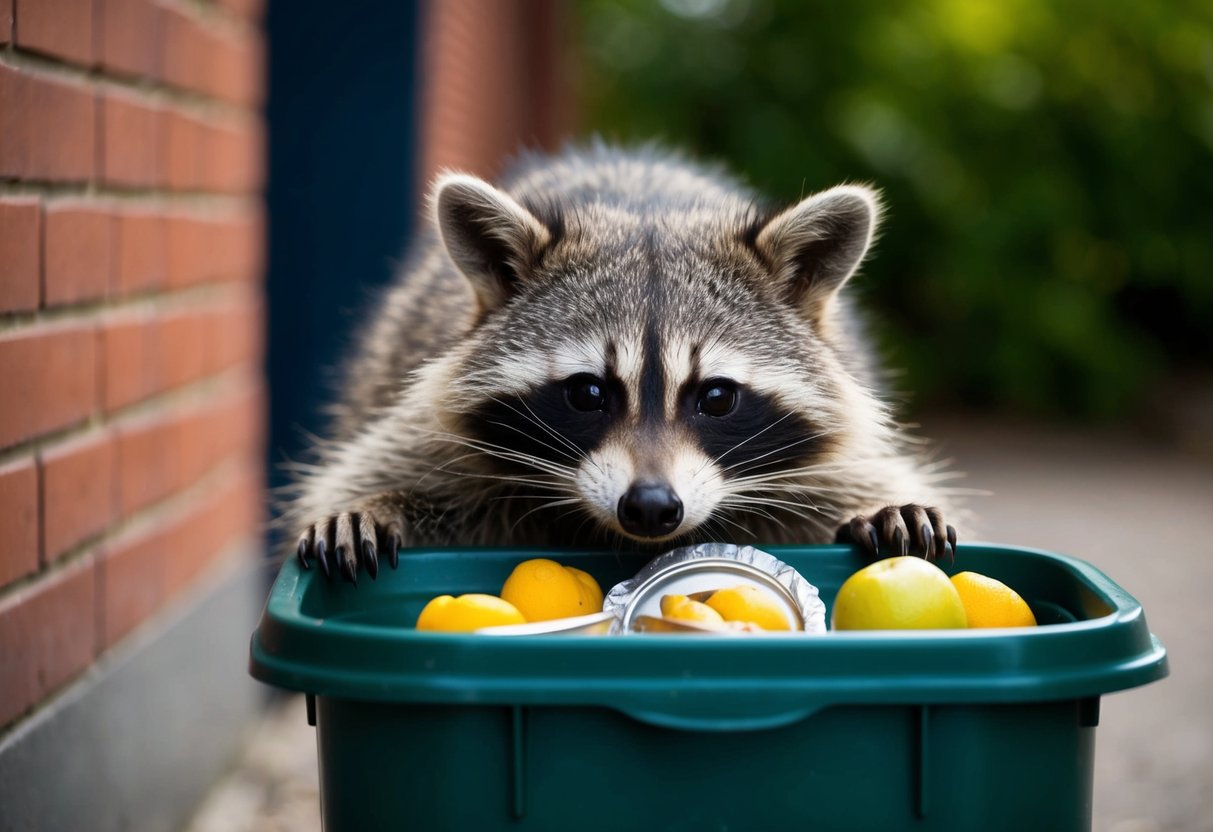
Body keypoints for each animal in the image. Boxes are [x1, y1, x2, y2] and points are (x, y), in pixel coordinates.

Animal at [287, 143, 958, 583]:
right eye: (588, 393)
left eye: (717, 397)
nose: (652, 507)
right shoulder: (440, 436)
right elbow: (391, 467)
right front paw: (378, 502)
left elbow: (842, 483)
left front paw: (874, 506)